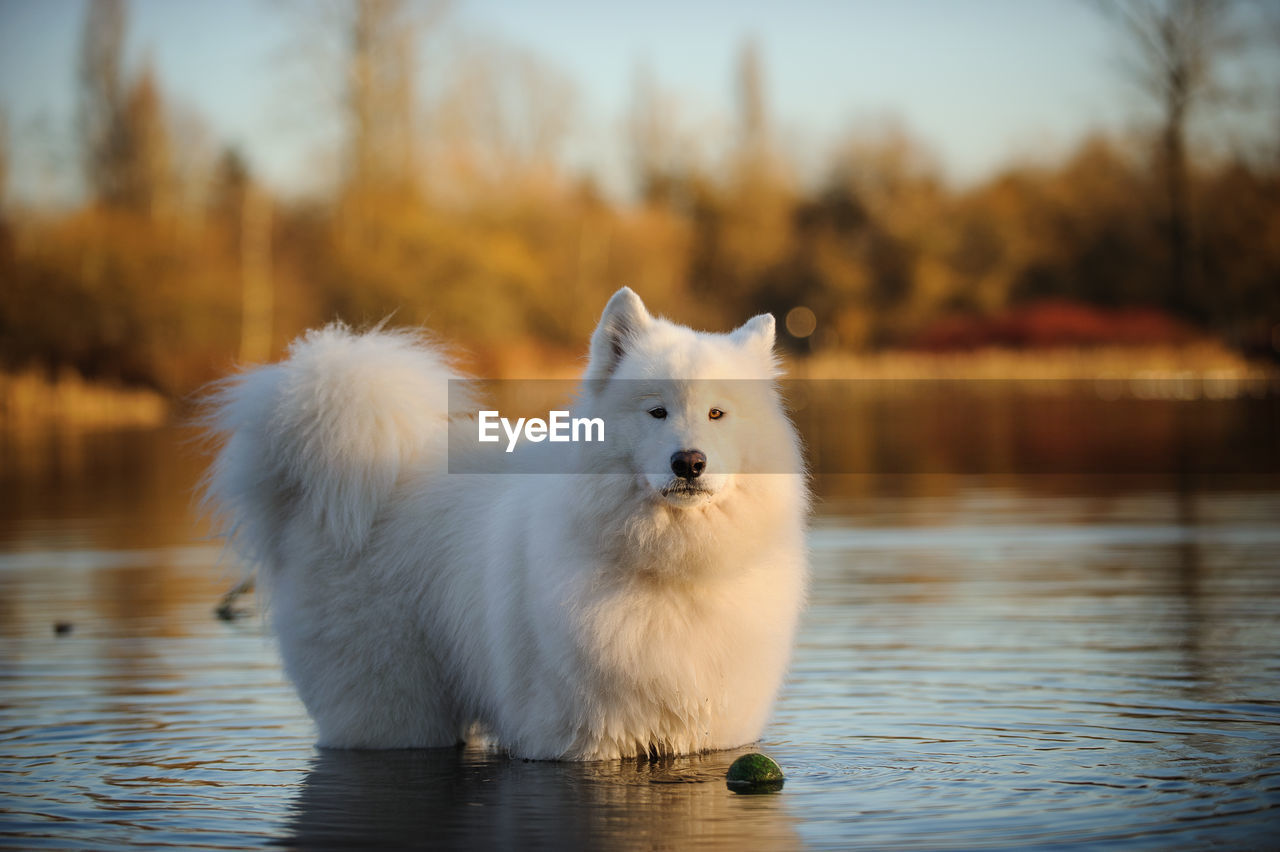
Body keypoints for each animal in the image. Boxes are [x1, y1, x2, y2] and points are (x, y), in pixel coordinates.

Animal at [207, 286, 808, 757]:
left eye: (717, 413)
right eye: (656, 411)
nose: (689, 462)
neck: (674, 564)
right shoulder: (575, 734)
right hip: (394, 705)